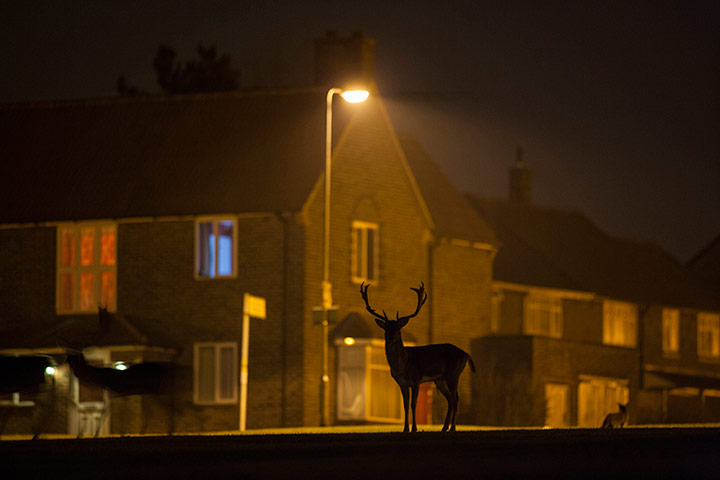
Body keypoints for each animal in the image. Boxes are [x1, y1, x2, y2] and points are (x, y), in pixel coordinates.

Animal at [360, 282, 475, 433]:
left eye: (398, 328)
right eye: (386, 328)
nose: (391, 336)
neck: (403, 364)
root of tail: (465, 354)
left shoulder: (415, 381)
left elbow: (413, 404)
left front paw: (414, 428)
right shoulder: (402, 384)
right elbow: (405, 405)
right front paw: (405, 429)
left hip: (453, 373)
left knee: (456, 398)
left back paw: (452, 428)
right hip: (440, 379)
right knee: (450, 399)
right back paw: (444, 428)